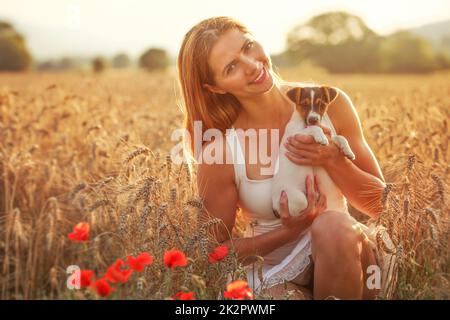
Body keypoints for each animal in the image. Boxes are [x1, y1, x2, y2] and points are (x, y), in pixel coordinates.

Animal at [270, 85, 356, 218]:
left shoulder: (330, 135)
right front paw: (321, 137)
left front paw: (348, 151)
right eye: (304, 104)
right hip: (297, 198)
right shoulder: (296, 135)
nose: (313, 119)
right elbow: (314, 128)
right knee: (296, 211)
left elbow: (340, 137)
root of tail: (274, 205)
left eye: (321, 104)